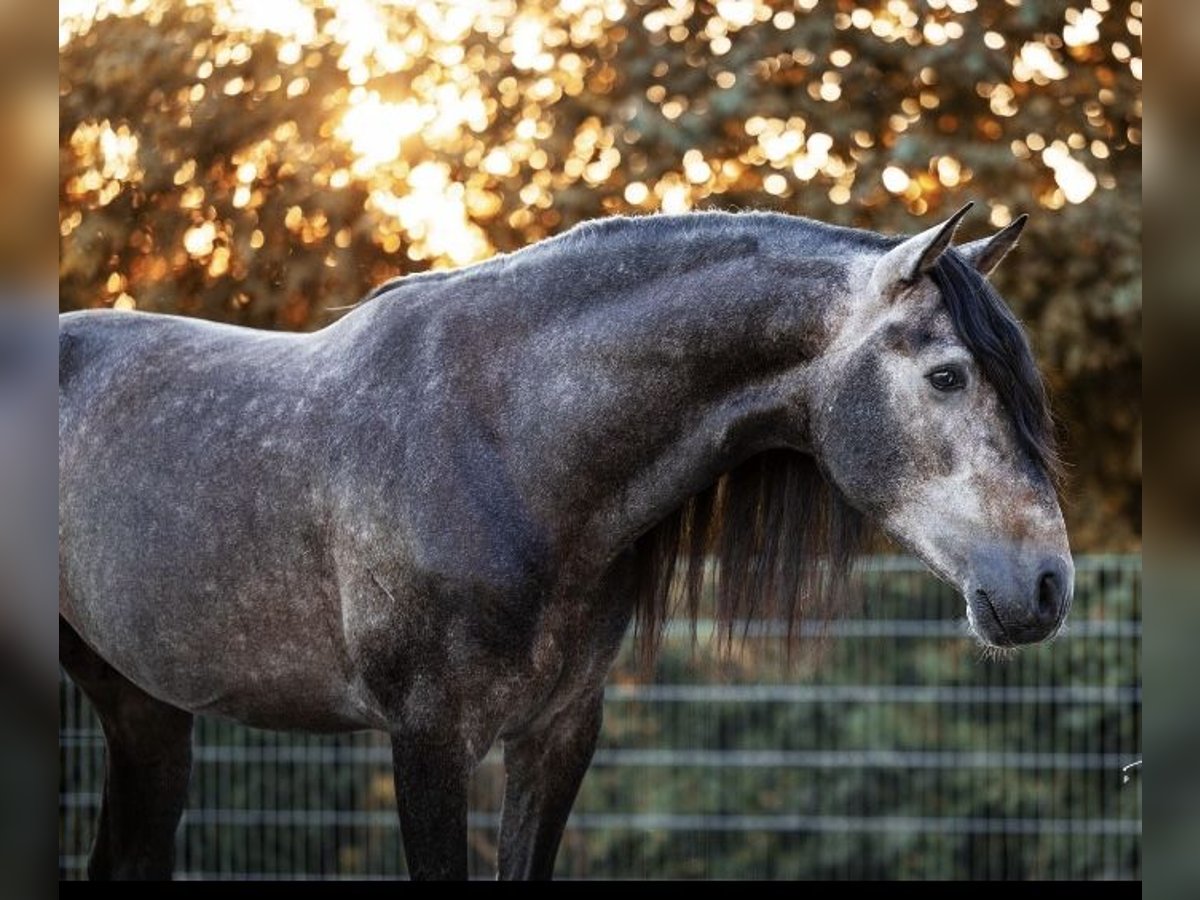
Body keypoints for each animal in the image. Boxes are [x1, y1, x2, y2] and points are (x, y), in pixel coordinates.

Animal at [58, 203, 1073, 880]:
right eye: (946, 376)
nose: (1046, 586)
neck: (508, 443)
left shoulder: (558, 733)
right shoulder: (428, 739)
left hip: (144, 708)